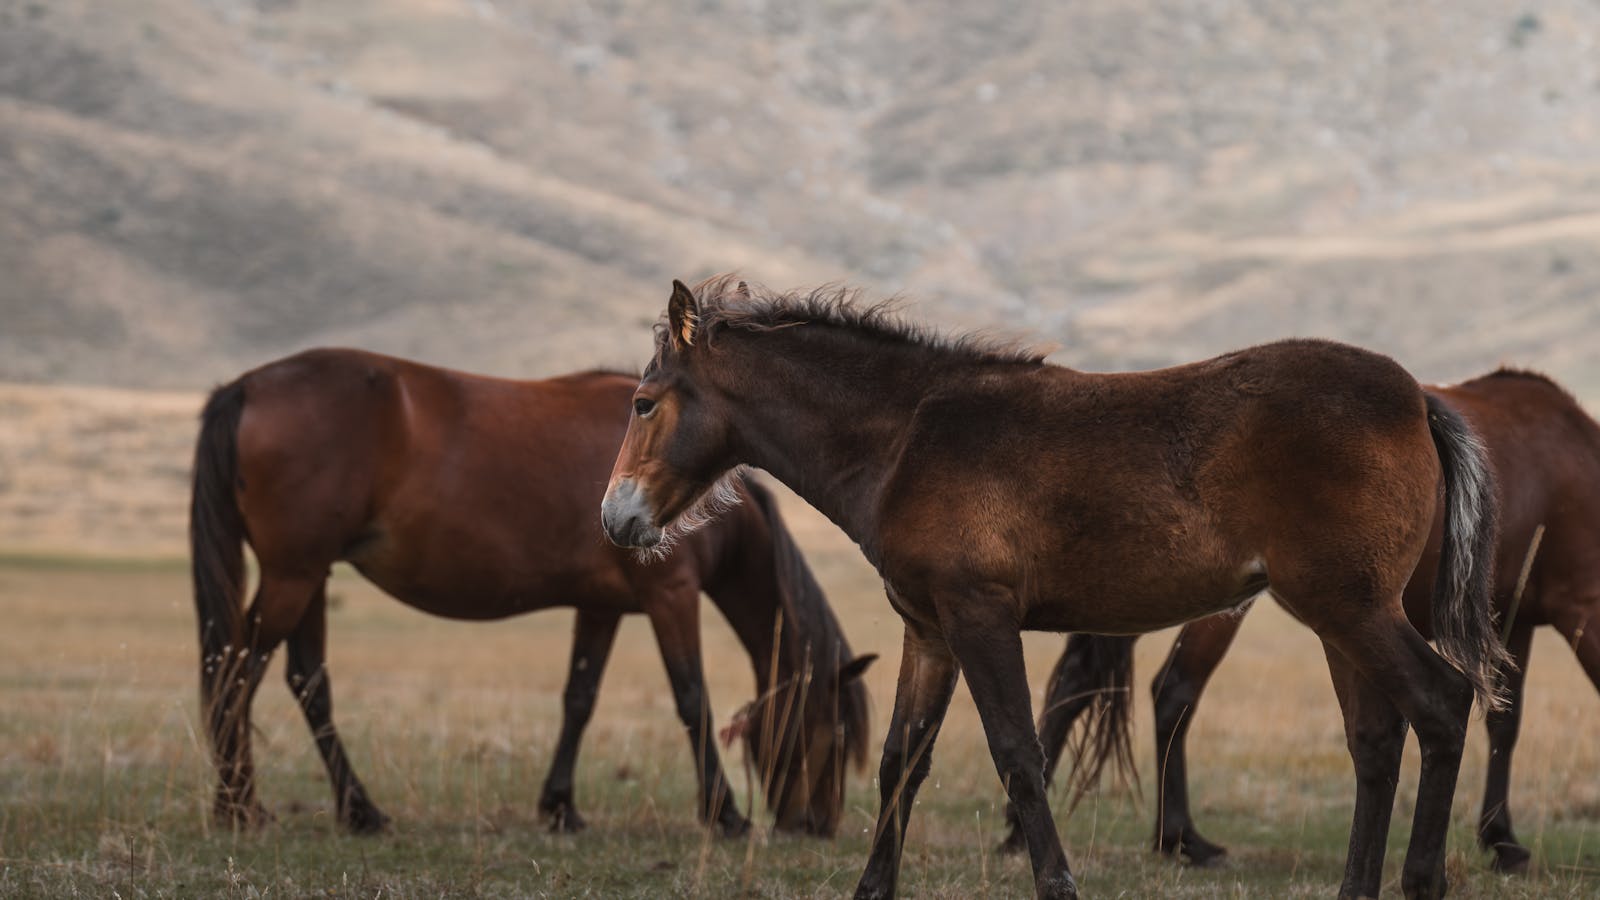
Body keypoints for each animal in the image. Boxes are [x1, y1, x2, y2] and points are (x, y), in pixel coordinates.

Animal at [193, 349, 883, 832]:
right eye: (832, 733)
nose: (817, 825)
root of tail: (247, 386)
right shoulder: (672, 594)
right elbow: (693, 699)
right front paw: (725, 813)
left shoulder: (601, 607)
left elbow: (579, 699)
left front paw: (559, 808)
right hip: (294, 576)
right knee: (239, 671)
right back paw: (239, 805)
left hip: (310, 576)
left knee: (307, 684)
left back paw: (357, 810)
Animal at [604, 277, 1504, 890]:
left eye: (645, 402)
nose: (616, 518)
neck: (907, 438)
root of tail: (1418, 399)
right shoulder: (929, 631)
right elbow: (902, 760)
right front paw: (871, 887)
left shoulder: (980, 617)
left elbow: (1018, 753)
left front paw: (1056, 882)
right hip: (1338, 617)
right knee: (1376, 742)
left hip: (1350, 609)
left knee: (1442, 704)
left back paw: (1422, 880)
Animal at [1011, 365, 1600, 871]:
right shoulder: (1564, 610)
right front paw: (1503, 840)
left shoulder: (1514, 621)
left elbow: (1503, 721)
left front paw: (1498, 836)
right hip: (1218, 608)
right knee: (1174, 691)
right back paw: (1180, 837)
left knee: (1081, 683)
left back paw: (1026, 830)